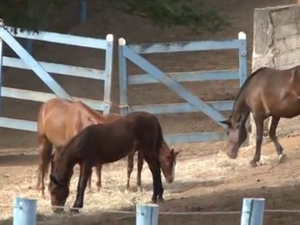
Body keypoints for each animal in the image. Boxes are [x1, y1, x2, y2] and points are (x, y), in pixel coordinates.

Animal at [48, 111, 179, 214]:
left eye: (53, 190)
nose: (55, 210)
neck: (83, 142)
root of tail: (153, 118)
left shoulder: (86, 165)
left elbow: (81, 185)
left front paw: (76, 207)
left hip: (148, 149)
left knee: (156, 169)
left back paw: (158, 197)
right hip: (144, 150)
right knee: (154, 169)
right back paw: (156, 197)